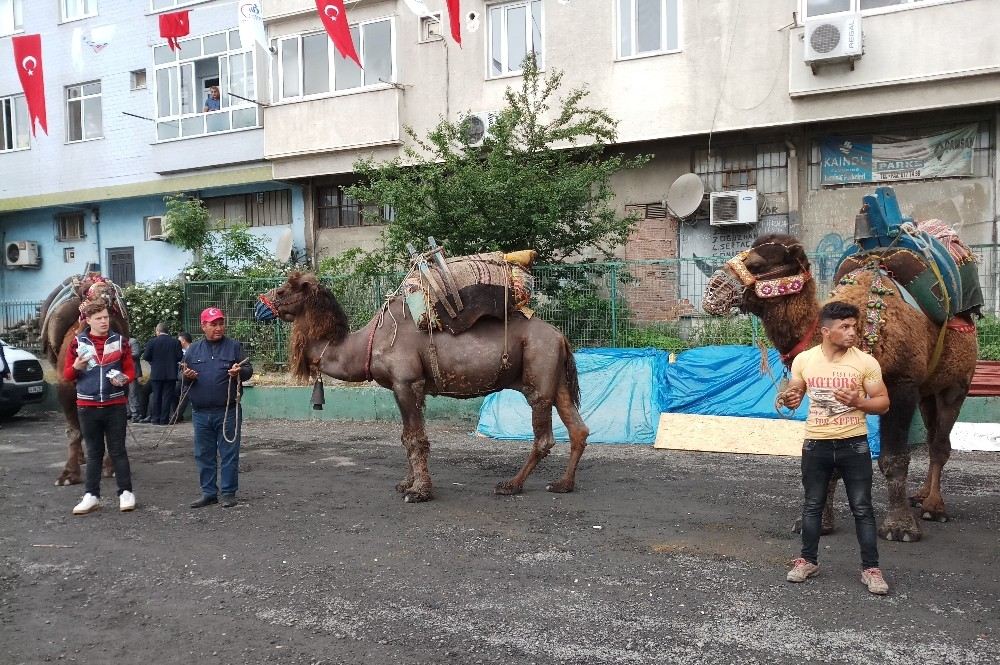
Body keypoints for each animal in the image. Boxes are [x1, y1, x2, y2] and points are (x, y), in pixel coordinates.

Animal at [258, 272, 588, 500]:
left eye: (282, 290)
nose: (259, 304)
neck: (364, 345)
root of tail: (560, 336)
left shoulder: (407, 383)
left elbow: (417, 439)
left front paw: (419, 492)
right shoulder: (402, 388)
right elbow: (406, 438)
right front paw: (406, 483)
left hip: (539, 373)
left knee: (544, 436)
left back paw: (511, 485)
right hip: (556, 379)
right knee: (578, 428)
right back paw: (563, 484)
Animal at [704, 233, 976, 540]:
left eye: (758, 263)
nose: (712, 291)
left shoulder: (902, 384)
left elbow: (894, 458)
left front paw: (900, 528)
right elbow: (826, 461)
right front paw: (817, 524)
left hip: (957, 383)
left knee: (940, 443)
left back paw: (933, 507)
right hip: (928, 391)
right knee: (932, 436)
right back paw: (920, 496)